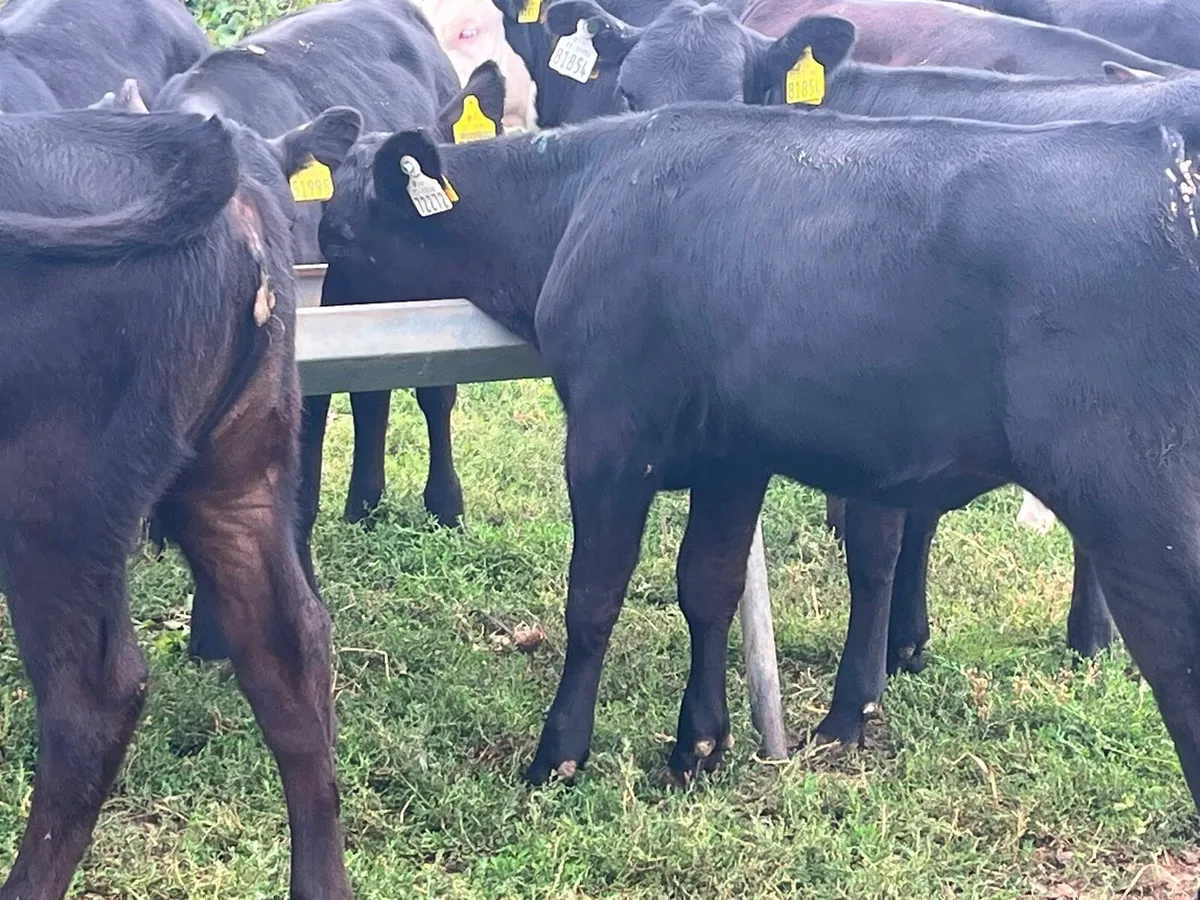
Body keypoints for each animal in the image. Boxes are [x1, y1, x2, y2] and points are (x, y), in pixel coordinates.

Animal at [155, 0, 470, 660]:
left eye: (282, 221)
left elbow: (295, 496)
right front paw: (209, 631)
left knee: (434, 395)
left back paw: (444, 506)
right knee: (374, 396)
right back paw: (364, 504)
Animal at [317, 66, 1200, 804]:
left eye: (337, 235)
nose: (323, 316)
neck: (586, 198)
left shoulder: (608, 437)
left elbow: (593, 598)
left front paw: (558, 757)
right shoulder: (731, 455)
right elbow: (705, 586)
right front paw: (699, 747)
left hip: (1138, 510)